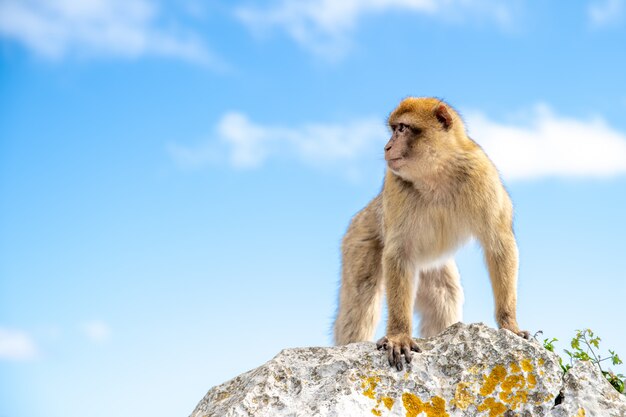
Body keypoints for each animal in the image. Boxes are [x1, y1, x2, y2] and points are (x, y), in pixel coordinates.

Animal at [332, 96, 528, 368]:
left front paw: (509, 324)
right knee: (361, 297)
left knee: (444, 296)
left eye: (402, 129)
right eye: (393, 129)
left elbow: (499, 245)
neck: (437, 173)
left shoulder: (482, 175)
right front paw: (399, 334)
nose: (387, 147)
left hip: (431, 266)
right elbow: (398, 255)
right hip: (358, 239)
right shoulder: (395, 185)